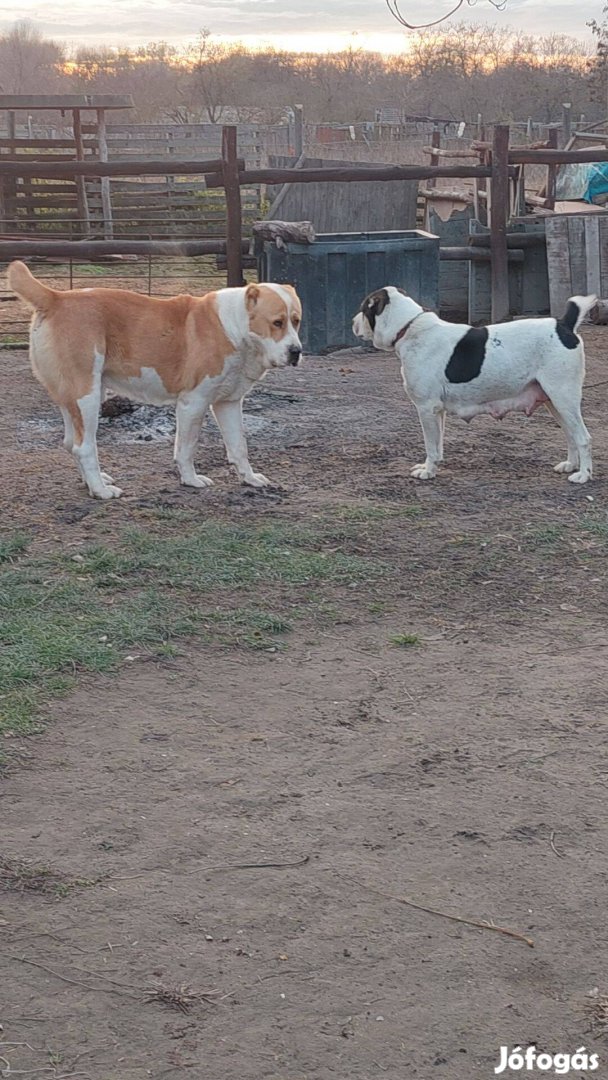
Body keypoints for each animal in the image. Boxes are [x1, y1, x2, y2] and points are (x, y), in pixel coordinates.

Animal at [8, 259, 302, 498]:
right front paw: (191, 480)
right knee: (84, 447)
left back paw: (93, 482)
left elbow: (239, 445)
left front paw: (249, 478)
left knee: (72, 443)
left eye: (296, 321)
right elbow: (186, 448)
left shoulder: (228, 403)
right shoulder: (193, 403)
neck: (235, 329)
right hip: (87, 397)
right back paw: (101, 491)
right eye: (277, 322)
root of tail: (56, 297)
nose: (296, 351)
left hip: (77, 398)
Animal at [354, 291, 596, 486]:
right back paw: (571, 465)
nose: (352, 322)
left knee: (583, 438)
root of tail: (564, 325)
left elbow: (431, 446)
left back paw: (583, 475)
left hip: (564, 398)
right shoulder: (437, 411)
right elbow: (438, 446)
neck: (409, 327)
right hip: (554, 402)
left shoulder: (426, 409)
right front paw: (433, 467)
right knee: (570, 434)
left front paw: (428, 471)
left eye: (364, 308)